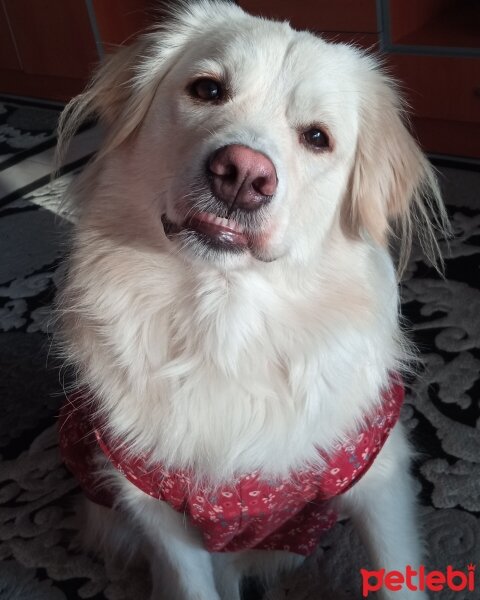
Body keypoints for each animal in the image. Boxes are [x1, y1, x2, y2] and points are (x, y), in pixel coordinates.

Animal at [55, 2, 446, 596]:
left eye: (317, 138)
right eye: (207, 90)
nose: (242, 173)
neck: (226, 322)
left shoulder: (378, 477)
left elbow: (395, 571)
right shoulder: (152, 507)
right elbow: (190, 583)